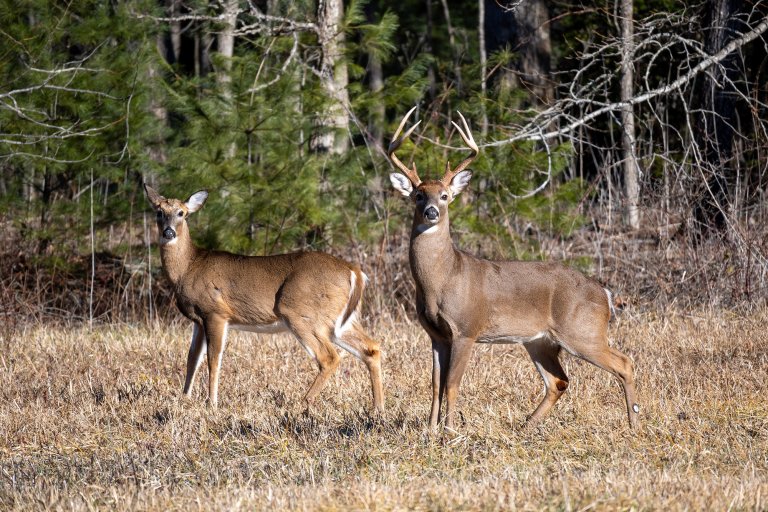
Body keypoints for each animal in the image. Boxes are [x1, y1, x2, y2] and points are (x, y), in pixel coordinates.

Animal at [143, 184, 384, 414]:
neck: (188, 267)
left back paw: (301, 403)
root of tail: (354, 271)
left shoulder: (215, 312)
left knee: (329, 357)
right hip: (340, 321)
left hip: (301, 313)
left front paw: (211, 403)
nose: (169, 232)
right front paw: (185, 398)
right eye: (159, 212)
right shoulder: (198, 320)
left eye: (181, 213)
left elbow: (214, 358)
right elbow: (192, 358)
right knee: (371, 349)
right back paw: (377, 408)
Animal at [387, 107, 639, 432]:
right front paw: (430, 431)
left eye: (445, 196)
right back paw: (526, 426)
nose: (431, 211)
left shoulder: (466, 329)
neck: (442, 279)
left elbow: (453, 385)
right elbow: (434, 386)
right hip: (541, 341)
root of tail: (605, 293)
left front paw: (449, 430)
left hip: (583, 331)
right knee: (559, 381)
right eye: (418, 195)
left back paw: (634, 423)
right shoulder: (435, 334)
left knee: (624, 364)